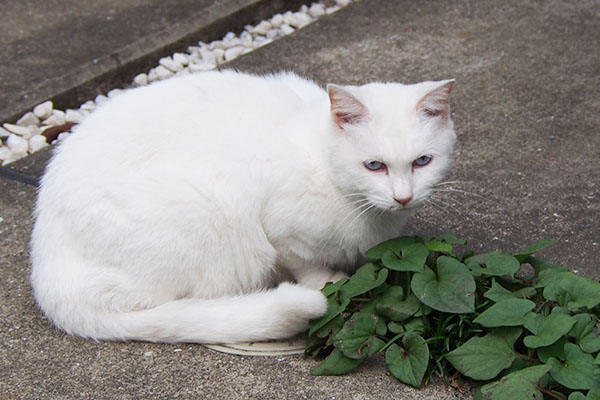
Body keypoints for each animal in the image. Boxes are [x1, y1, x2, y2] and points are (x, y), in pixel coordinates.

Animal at [29, 70, 454, 342]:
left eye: (422, 162)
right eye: (374, 166)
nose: (403, 196)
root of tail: (46, 269)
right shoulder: (279, 230)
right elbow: (307, 266)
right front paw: (331, 282)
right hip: (205, 217)